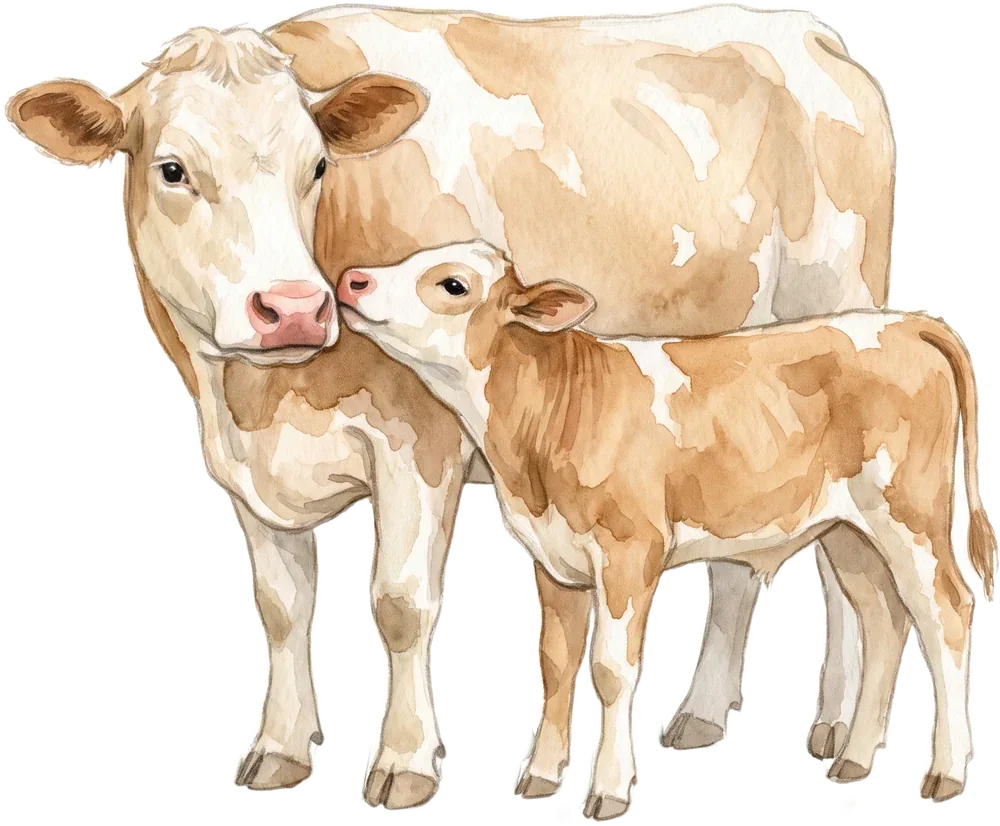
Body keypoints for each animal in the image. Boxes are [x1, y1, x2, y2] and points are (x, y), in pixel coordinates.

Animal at [4, 4, 899, 806]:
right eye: (173, 170)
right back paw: (707, 716)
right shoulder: (244, 467)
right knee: (748, 564)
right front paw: (281, 752)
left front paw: (405, 767)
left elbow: (400, 603)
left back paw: (832, 729)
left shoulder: (419, 441)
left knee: (840, 564)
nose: (293, 308)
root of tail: (806, 29)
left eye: (317, 167)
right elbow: (285, 609)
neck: (255, 398)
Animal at [336, 239, 996, 818]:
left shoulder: (630, 552)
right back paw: (855, 761)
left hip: (911, 515)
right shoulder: (555, 560)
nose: (352, 279)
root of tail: (900, 324)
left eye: (454, 284)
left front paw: (608, 791)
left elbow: (610, 668)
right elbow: (555, 662)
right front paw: (540, 779)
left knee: (944, 613)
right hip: (849, 531)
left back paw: (944, 774)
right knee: (885, 616)